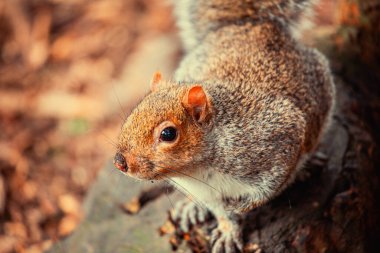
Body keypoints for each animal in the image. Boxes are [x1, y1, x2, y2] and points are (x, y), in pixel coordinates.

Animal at [113, 0, 336, 252]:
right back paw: (191, 208)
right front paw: (228, 231)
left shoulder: (279, 136)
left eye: (168, 134)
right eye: (133, 112)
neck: (200, 169)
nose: (120, 162)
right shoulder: (207, 192)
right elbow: (220, 212)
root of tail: (252, 25)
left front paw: (241, 206)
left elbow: (270, 188)